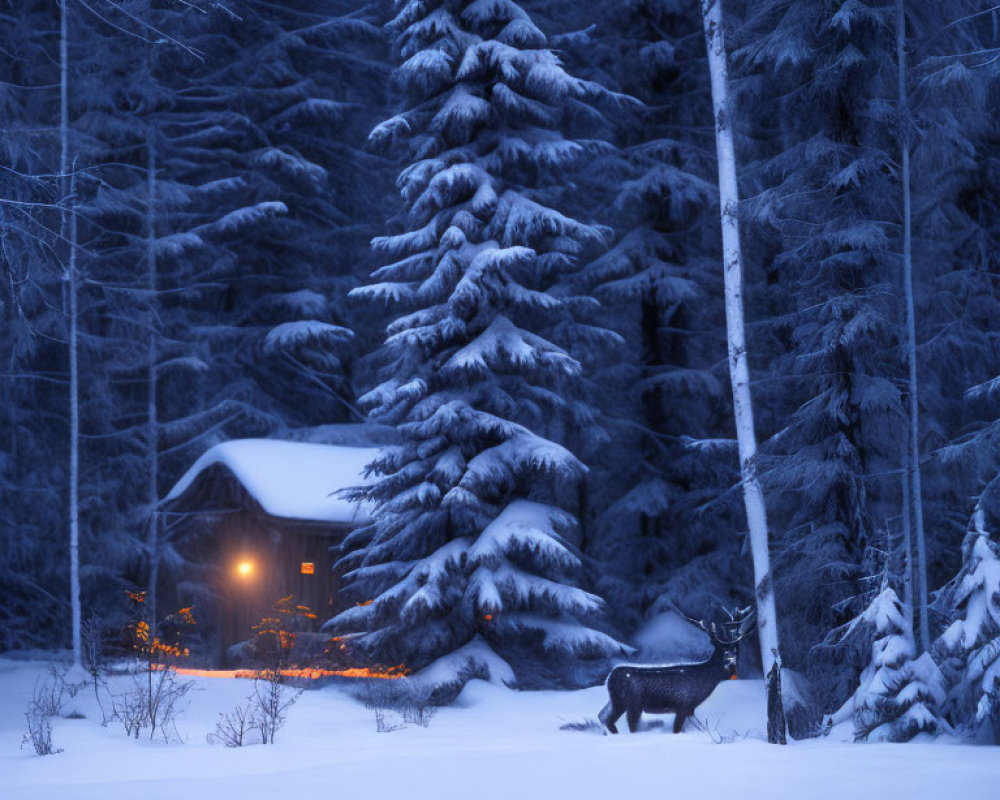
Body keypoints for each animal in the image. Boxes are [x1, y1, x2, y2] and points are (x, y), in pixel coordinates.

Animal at [596, 608, 752, 732]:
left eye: (734, 654)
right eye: (722, 656)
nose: (733, 669)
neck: (703, 681)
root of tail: (609, 678)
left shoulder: (690, 708)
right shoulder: (683, 704)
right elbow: (676, 729)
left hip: (617, 702)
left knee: (603, 717)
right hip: (629, 702)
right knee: (625, 724)